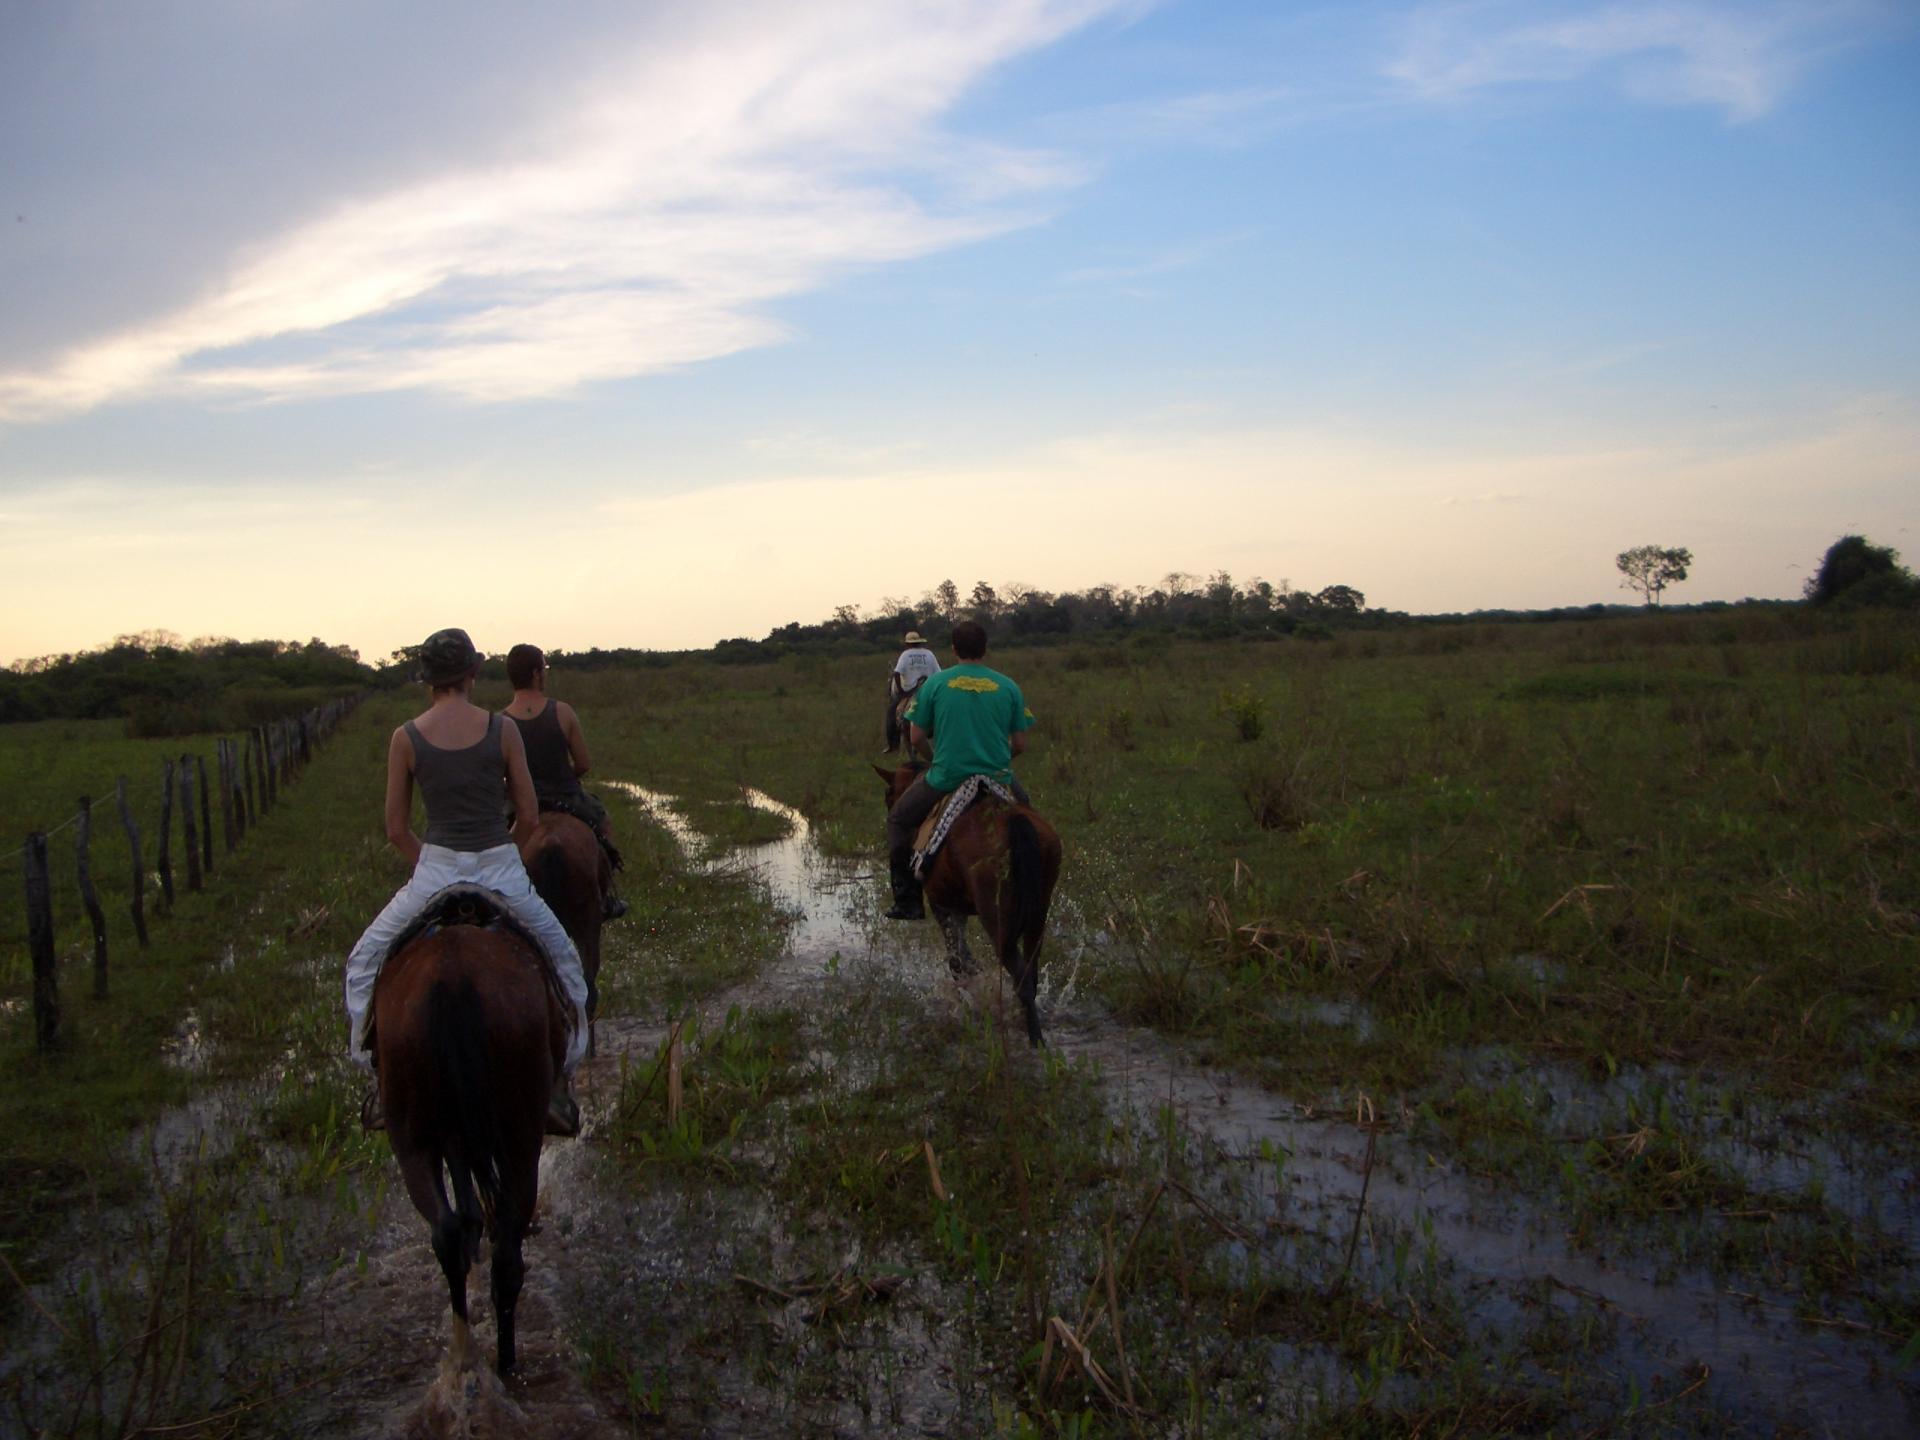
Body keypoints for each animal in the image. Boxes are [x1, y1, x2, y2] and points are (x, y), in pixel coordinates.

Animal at [370, 917, 560, 1382]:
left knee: (446, 1232)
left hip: (412, 1142)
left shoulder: (455, 1136)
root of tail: (450, 979)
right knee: (507, 1256)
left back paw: (462, 1351)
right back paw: (506, 1362)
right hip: (520, 1142)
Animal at [875, 768, 1059, 1052]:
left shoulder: (941, 904)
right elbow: (965, 955)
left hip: (996, 920)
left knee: (1020, 977)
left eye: (888, 794)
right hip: (1038, 915)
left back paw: (1034, 1039)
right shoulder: (958, 908)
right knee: (1031, 972)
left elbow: (956, 962)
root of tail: (1013, 819)